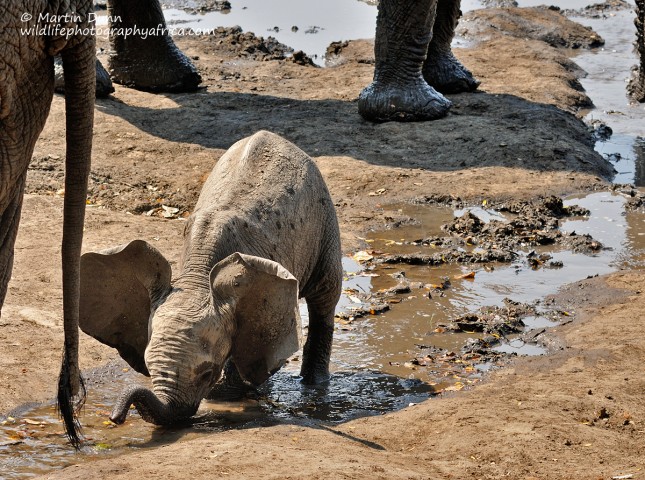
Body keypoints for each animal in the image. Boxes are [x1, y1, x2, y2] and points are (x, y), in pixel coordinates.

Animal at [79, 130, 342, 424]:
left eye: (207, 372)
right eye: (146, 365)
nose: (116, 418)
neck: (198, 276)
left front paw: (226, 393)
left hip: (324, 216)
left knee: (326, 296)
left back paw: (314, 384)